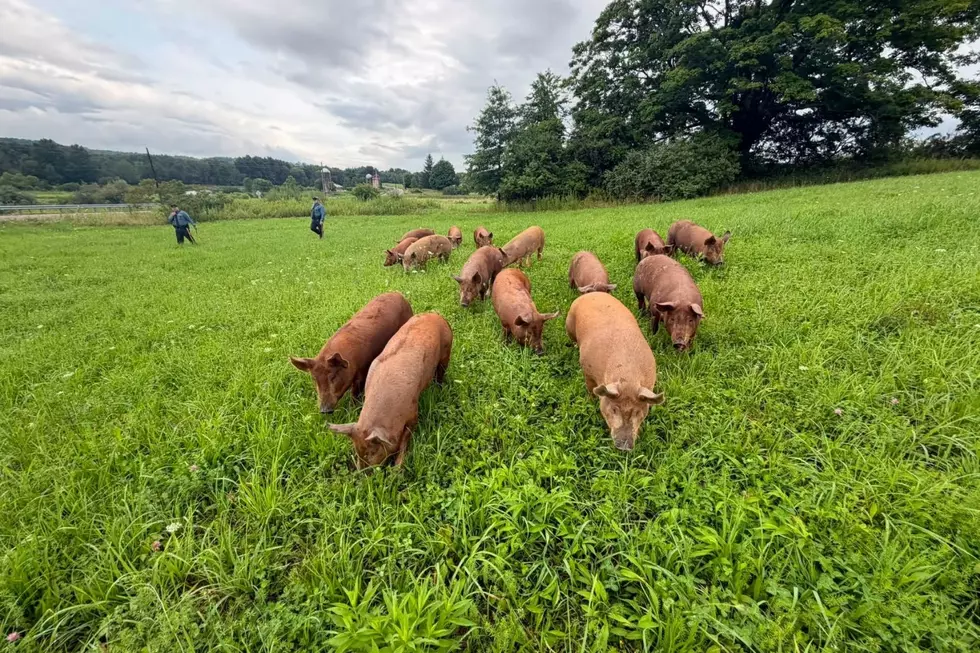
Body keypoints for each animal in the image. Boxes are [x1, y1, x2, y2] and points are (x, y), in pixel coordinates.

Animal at [328, 313, 453, 469]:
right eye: (357, 450)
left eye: (372, 452)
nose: (362, 472)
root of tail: (436, 315)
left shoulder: (413, 411)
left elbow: (405, 440)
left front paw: (397, 469)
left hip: (447, 352)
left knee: (441, 374)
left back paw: (439, 389)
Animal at [566, 292, 664, 450]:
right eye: (614, 409)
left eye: (638, 412)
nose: (624, 446)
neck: (628, 379)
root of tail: (592, 293)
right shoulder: (587, 370)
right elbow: (590, 389)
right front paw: (590, 401)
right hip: (569, 323)